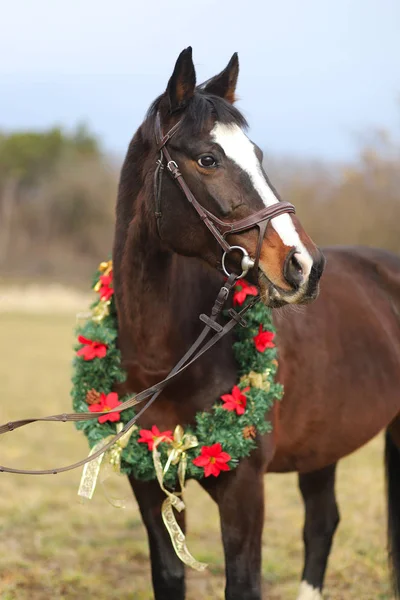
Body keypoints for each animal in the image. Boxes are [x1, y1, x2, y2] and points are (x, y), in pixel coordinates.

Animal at [111, 48, 400, 600]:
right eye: (208, 159)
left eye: (258, 154)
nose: (305, 265)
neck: (167, 364)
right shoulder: (147, 483)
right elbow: (169, 575)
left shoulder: (244, 488)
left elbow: (243, 583)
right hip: (322, 443)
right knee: (322, 523)